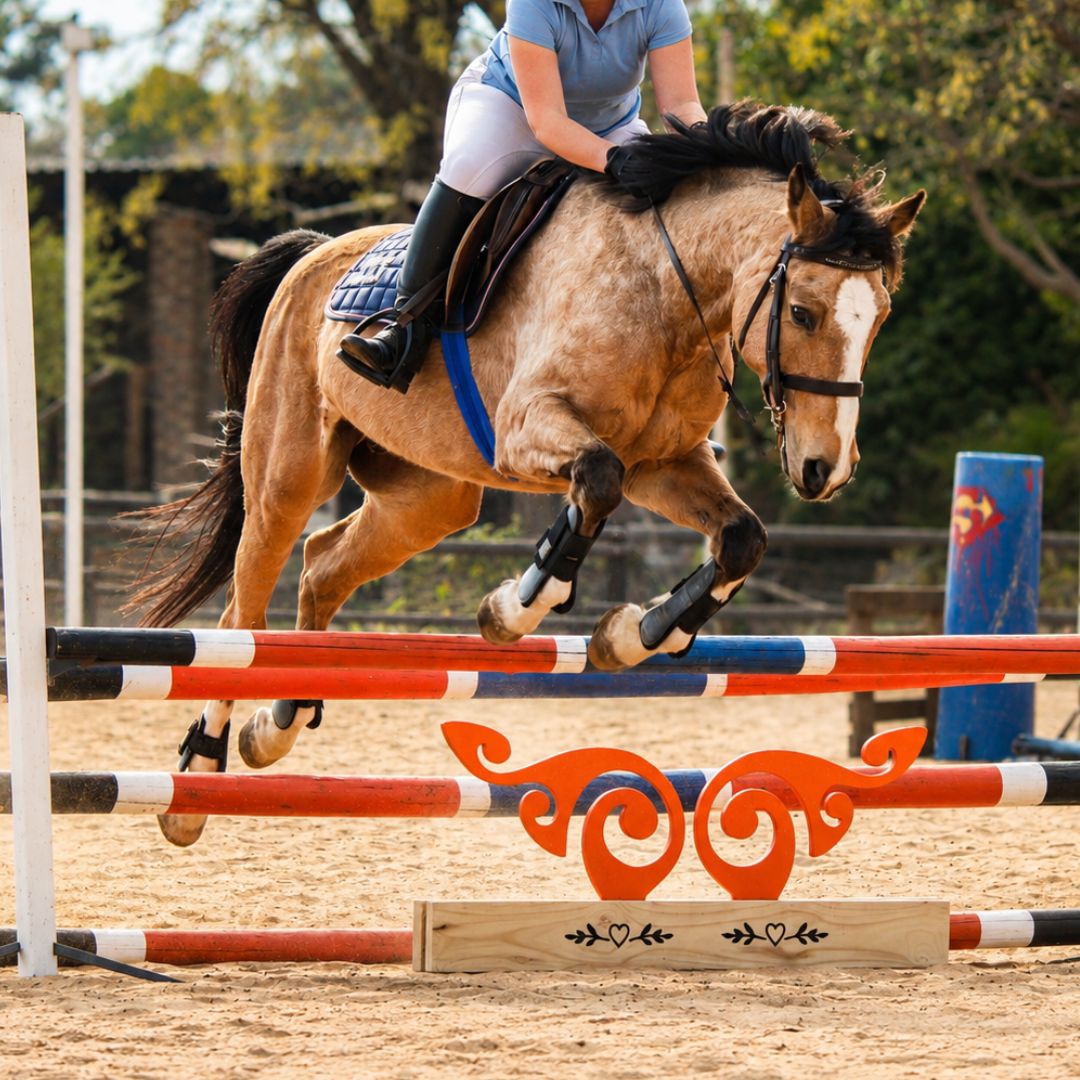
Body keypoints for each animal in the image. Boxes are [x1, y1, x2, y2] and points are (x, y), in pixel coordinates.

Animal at [125, 101, 925, 846]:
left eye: (882, 317)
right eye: (803, 312)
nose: (825, 469)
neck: (665, 288)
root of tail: (312, 255)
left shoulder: (664, 464)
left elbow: (739, 539)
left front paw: (633, 635)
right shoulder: (533, 428)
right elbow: (596, 481)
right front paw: (517, 606)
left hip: (430, 498)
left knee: (322, 566)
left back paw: (279, 724)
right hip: (288, 478)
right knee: (241, 614)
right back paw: (198, 777)